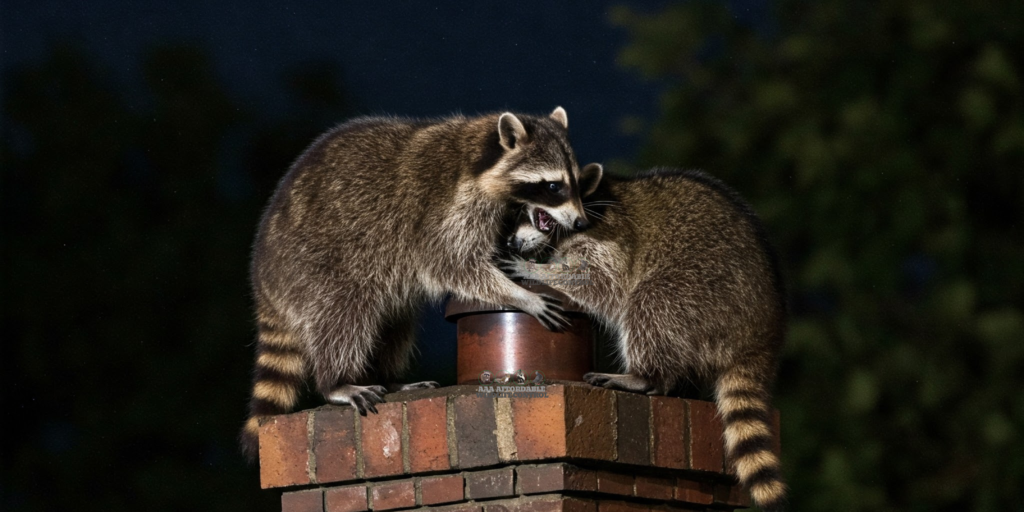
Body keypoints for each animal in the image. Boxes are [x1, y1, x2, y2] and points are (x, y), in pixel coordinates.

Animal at [241, 108, 603, 461]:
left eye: (575, 183)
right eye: (554, 186)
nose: (581, 222)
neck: (478, 160)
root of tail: (263, 283)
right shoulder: (445, 211)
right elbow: (452, 265)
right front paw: (521, 295)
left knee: (395, 324)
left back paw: (387, 379)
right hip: (316, 264)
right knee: (344, 313)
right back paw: (337, 381)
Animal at [504, 168, 787, 511]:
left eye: (535, 213)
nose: (510, 241)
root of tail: (763, 336)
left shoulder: (609, 237)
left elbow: (601, 283)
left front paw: (538, 270)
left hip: (706, 291)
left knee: (650, 302)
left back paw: (646, 376)